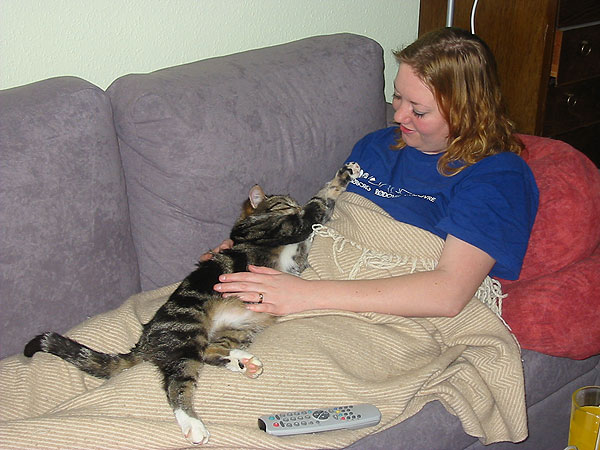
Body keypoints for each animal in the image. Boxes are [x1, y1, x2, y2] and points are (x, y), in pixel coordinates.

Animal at [24, 162, 360, 445]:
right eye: (284, 204)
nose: (294, 205)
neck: (252, 226)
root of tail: (144, 340)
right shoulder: (289, 227)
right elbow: (319, 203)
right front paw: (341, 178)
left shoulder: (298, 257)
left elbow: (317, 221)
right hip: (188, 332)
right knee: (178, 383)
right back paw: (194, 424)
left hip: (239, 328)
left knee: (212, 351)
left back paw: (244, 362)